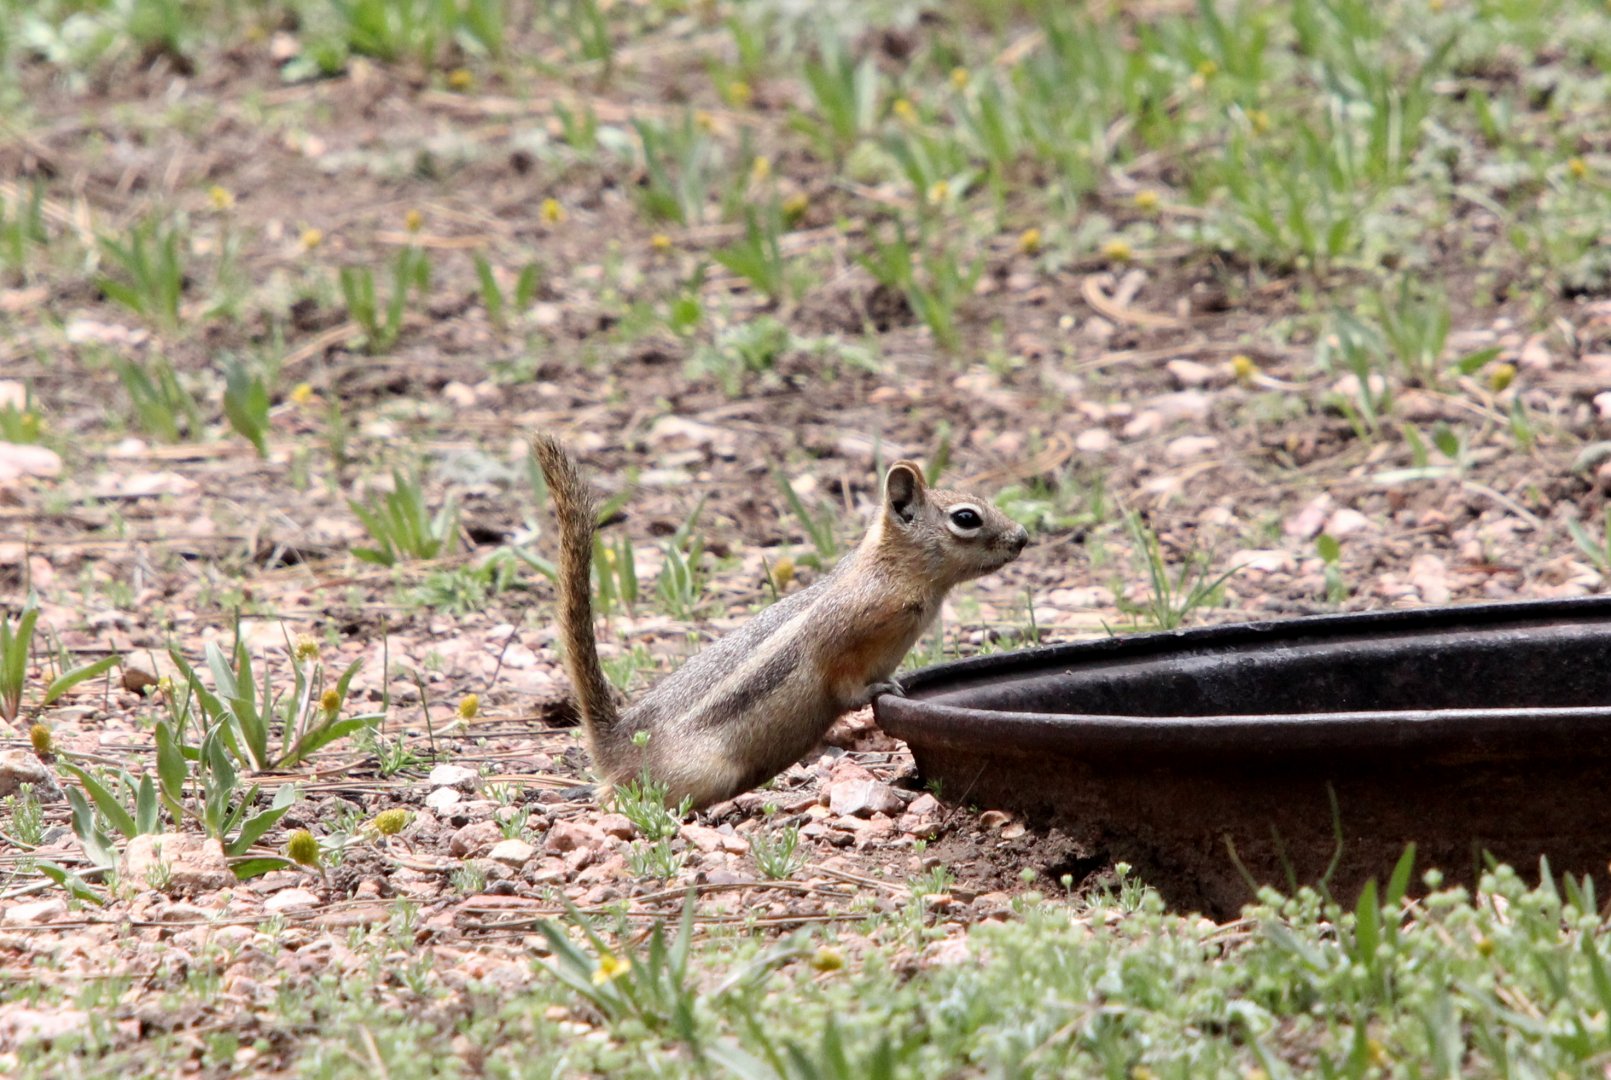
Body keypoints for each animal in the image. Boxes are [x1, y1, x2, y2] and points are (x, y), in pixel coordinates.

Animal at [530, 434, 1030, 809]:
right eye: (966, 517)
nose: (1022, 537)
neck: (891, 572)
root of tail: (615, 742)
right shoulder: (843, 639)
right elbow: (845, 683)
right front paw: (880, 688)